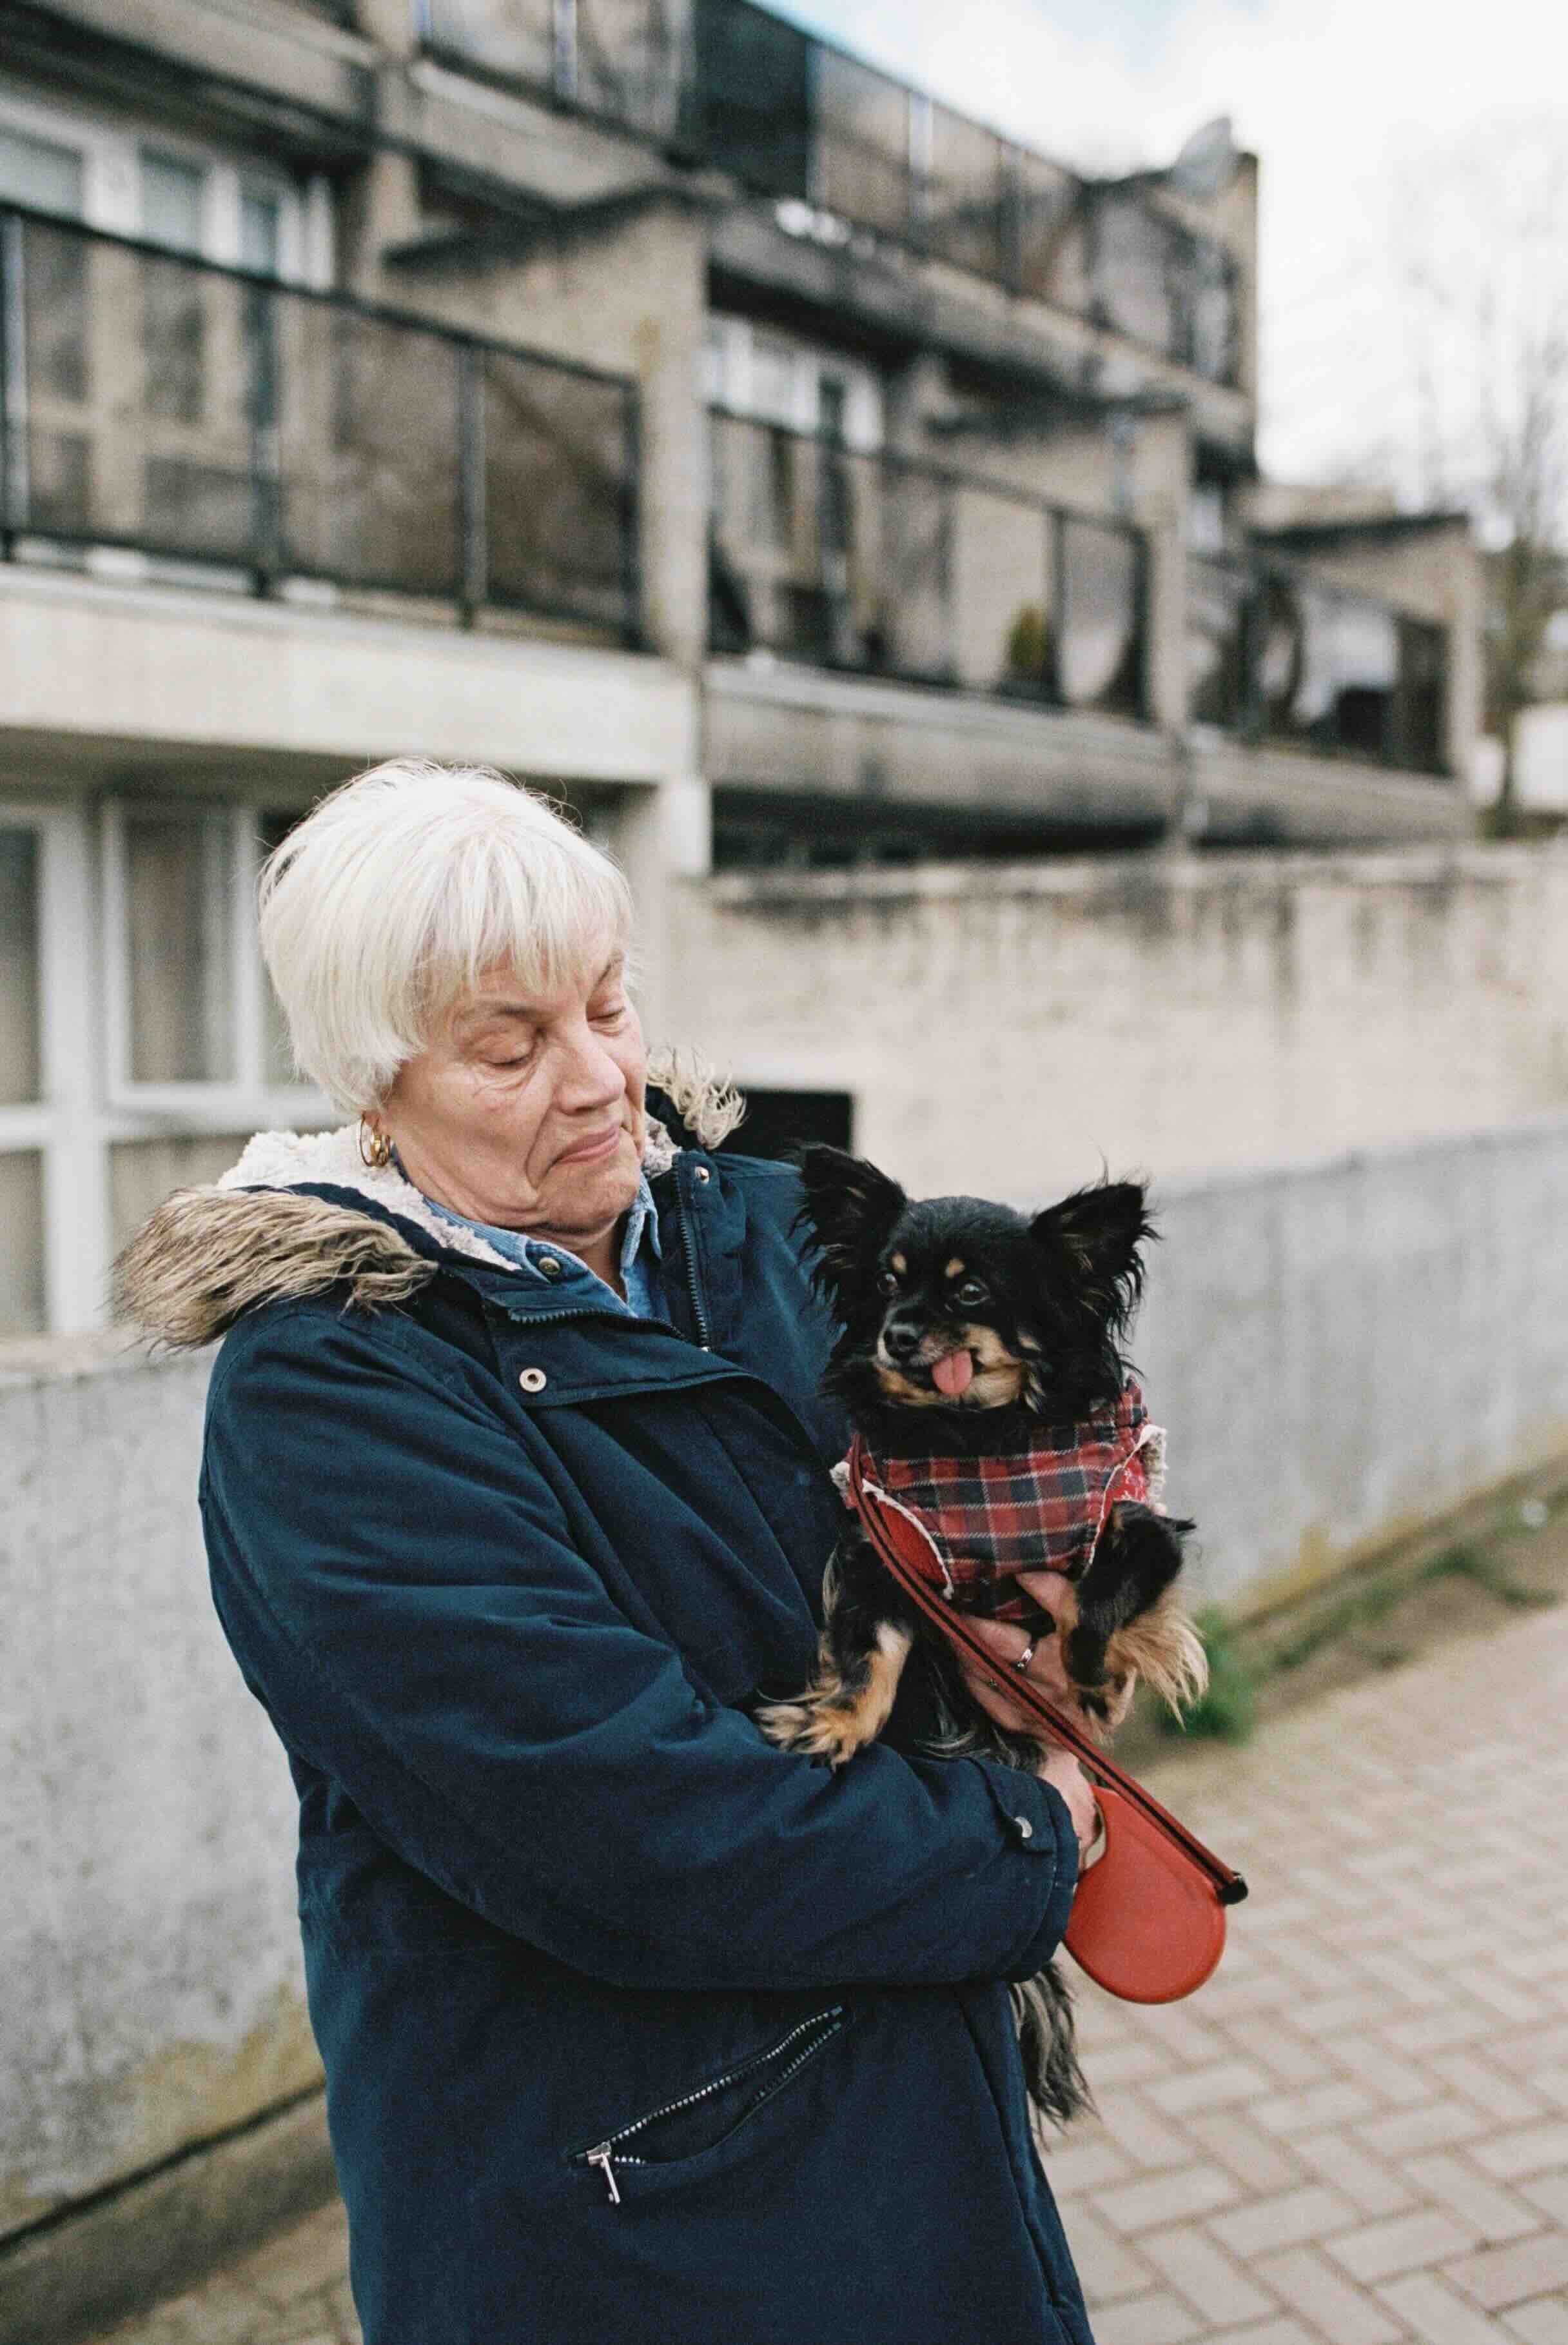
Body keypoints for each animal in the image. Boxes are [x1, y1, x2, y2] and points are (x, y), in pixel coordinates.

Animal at [760, 1146, 1207, 2126]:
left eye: (969, 1293)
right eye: (887, 1287)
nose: (895, 1336)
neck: (979, 1439)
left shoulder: (1139, 1527)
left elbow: (1098, 1606)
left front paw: (1089, 1679)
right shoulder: (883, 1559)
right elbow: (869, 1656)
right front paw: (834, 1723)